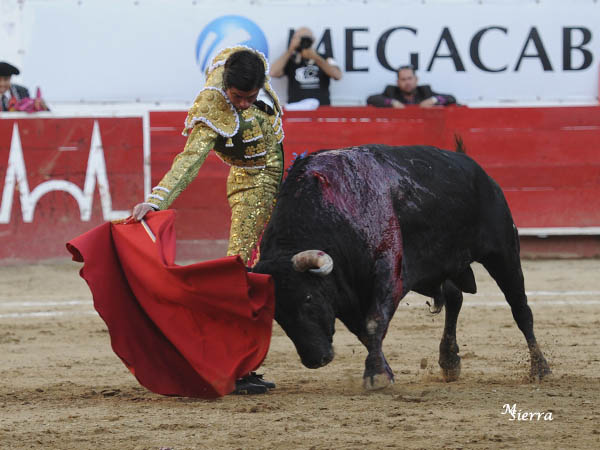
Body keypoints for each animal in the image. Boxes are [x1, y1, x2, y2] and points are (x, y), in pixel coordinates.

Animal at [255, 145, 552, 390]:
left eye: (308, 298)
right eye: (276, 314)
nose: (315, 359)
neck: (333, 212)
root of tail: (478, 171)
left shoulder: (388, 271)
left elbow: (374, 322)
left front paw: (375, 376)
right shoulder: (349, 291)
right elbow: (363, 332)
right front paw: (384, 371)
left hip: (503, 253)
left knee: (520, 309)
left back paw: (540, 368)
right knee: (455, 298)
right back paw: (449, 360)